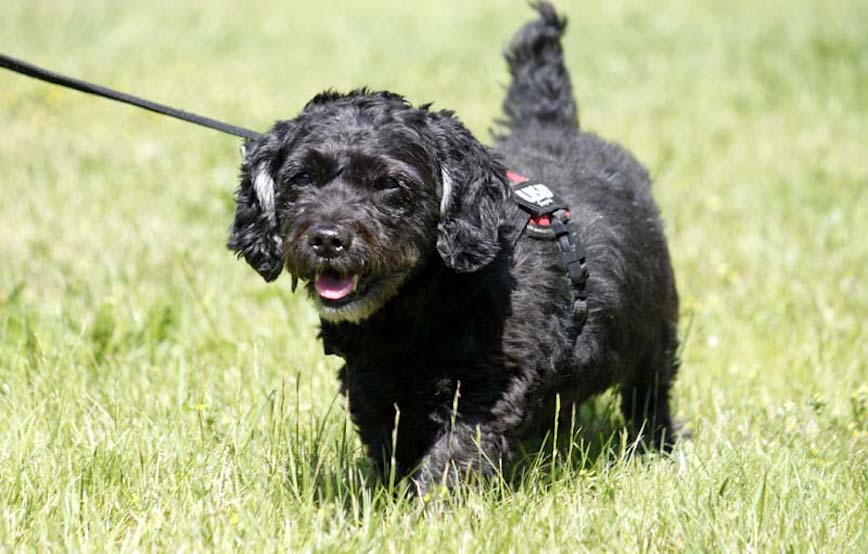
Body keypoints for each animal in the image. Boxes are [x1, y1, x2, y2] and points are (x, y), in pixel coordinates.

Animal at [227, 2, 680, 490]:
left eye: (390, 185)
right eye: (302, 177)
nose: (327, 239)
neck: (418, 307)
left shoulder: (493, 382)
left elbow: (457, 452)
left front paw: (432, 503)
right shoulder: (372, 380)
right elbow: (390, 440)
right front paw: (387, 494)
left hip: (655, 329)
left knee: (650, 392)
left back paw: (660, 446)